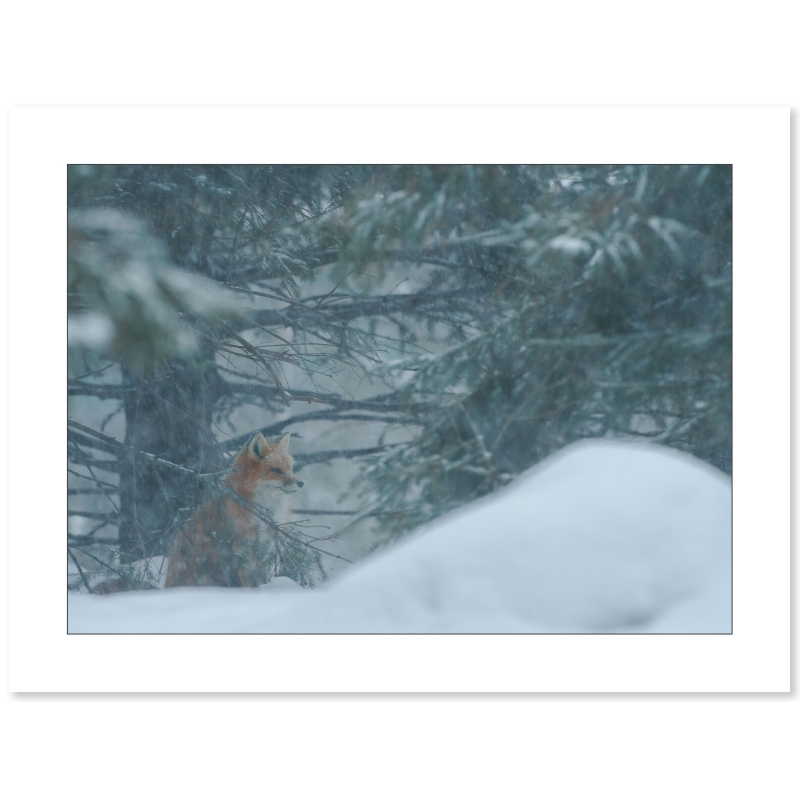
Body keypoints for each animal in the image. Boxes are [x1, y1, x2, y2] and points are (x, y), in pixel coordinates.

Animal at [164, 432, 303, 588]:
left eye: (290, 469)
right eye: (277, 470)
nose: (301, 483)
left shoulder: (263, 549)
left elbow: (259, 580)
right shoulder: (241, 551)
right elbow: (246, 583)